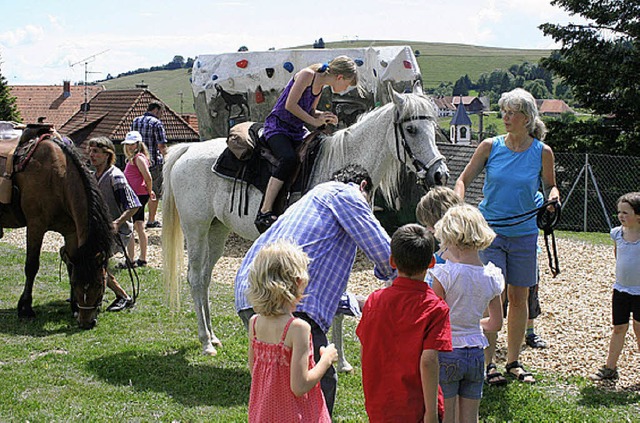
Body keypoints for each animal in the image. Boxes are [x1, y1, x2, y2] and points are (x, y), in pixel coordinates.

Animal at [0, 124, 114, 330]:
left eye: (100, 284)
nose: (86, 322)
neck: (57, 176)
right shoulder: (36, 226)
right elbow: (31, 266)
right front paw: (25, 308)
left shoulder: (71, 232)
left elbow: (70, 264)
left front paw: (74, 307)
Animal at [162, 85, 448, 358]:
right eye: (411, 129)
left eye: (433, 127)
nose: (440, 174)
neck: (339, 166)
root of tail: (188, 148)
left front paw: (341, 359)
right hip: (196, 229)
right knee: (195, 278)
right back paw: (205, 342)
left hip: (217, 230)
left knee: (205, 277)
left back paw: (212, 337)